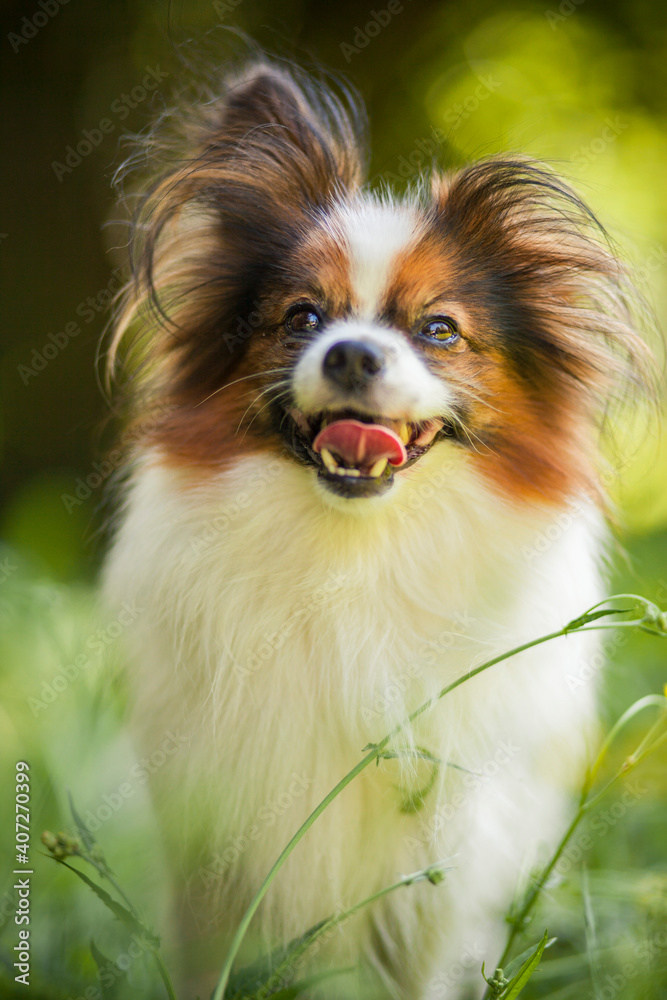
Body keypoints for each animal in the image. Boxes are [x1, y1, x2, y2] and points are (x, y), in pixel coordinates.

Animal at [103, 56, 648, 1000]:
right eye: (301, 319)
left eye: (438, 330)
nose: (353, 353)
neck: (355, 551)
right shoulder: (212, 838)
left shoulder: (446, 861)